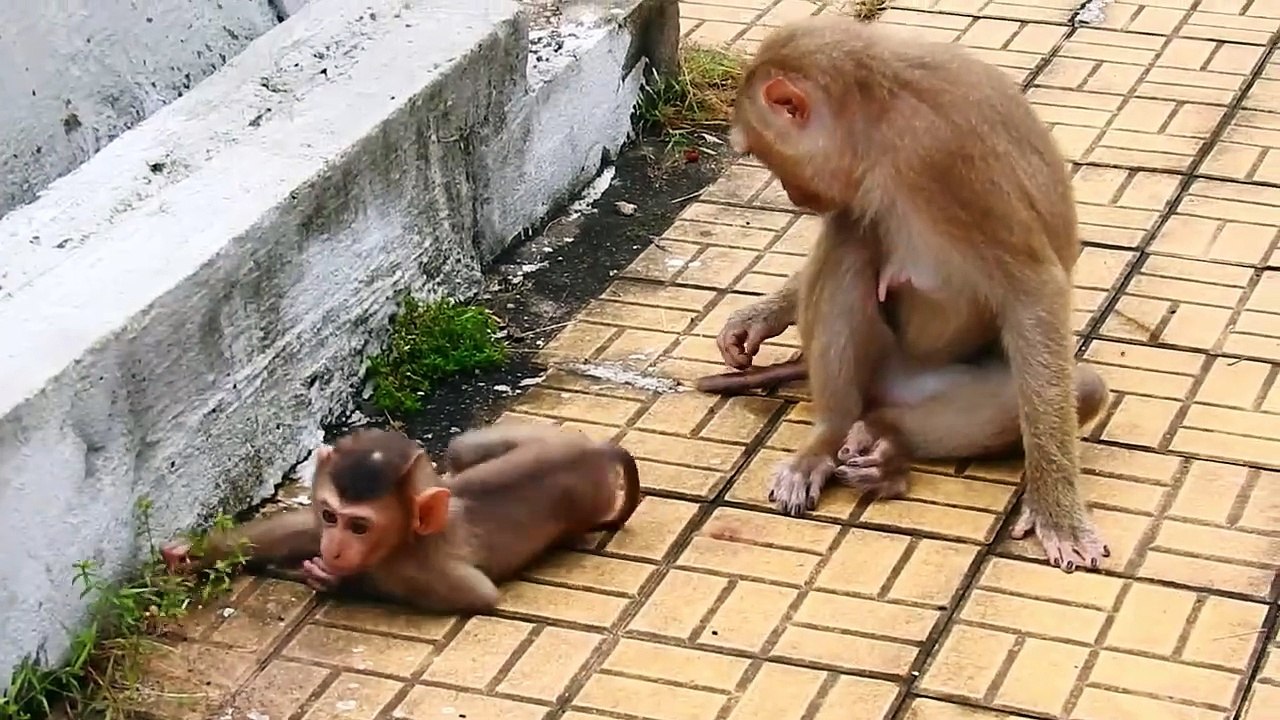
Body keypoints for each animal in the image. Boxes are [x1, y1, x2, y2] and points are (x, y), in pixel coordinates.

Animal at [161, 426, 641, 612]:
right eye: (330, 515)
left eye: (359, 526)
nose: (334, 549)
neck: (405, 540)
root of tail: (597, 449)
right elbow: (298, 528)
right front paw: (192, 552)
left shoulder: (421, 567)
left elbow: (479, 596)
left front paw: (333, 580)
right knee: (461, 449)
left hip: (591, 499)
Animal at [706, 16, 1111, 572]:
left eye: (765, 153)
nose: (792, 194)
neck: (879, 113)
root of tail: (891, 389)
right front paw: (761, 317)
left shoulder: (943, 153)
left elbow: (1034, 291)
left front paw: (1057, 511)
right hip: (877, 362)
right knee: (851, 233)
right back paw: (833, 437)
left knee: (1081, 388)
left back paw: (888, 445)